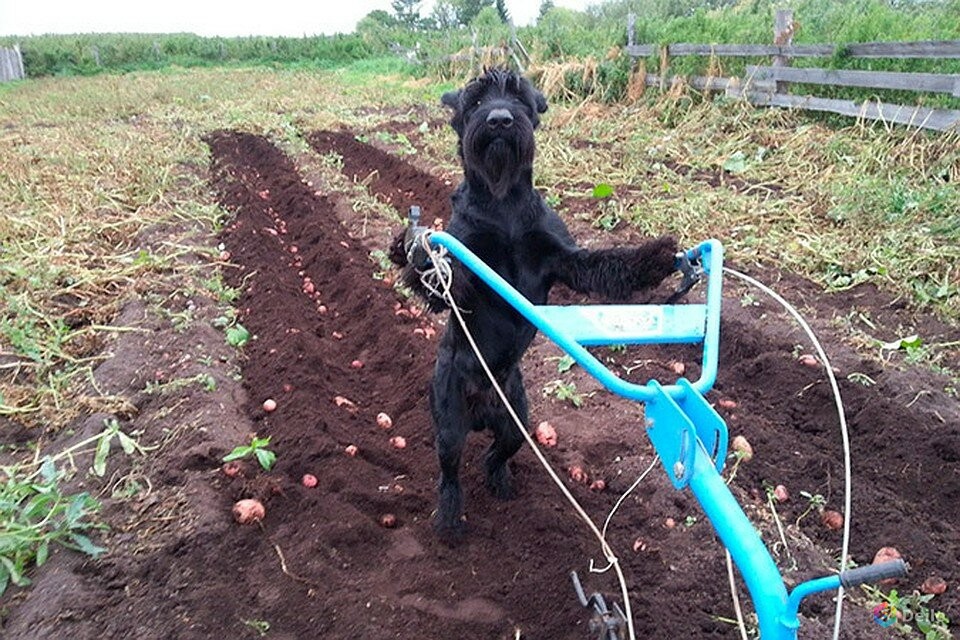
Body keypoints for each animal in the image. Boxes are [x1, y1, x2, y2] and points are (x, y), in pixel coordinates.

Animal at [390, 69, 676, 540]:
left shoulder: (563, 259)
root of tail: (483, 410)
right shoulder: (467, 267)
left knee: (496, 454)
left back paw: (502, 482)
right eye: (475, 100)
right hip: (448, 423)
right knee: (449, 471)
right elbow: (443, 283)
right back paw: (449, 519)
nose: (500, 120)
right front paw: (412, 253)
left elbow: (607, 263)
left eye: (520, 97)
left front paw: (656, 257)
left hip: (516, 421)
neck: (502, 199)